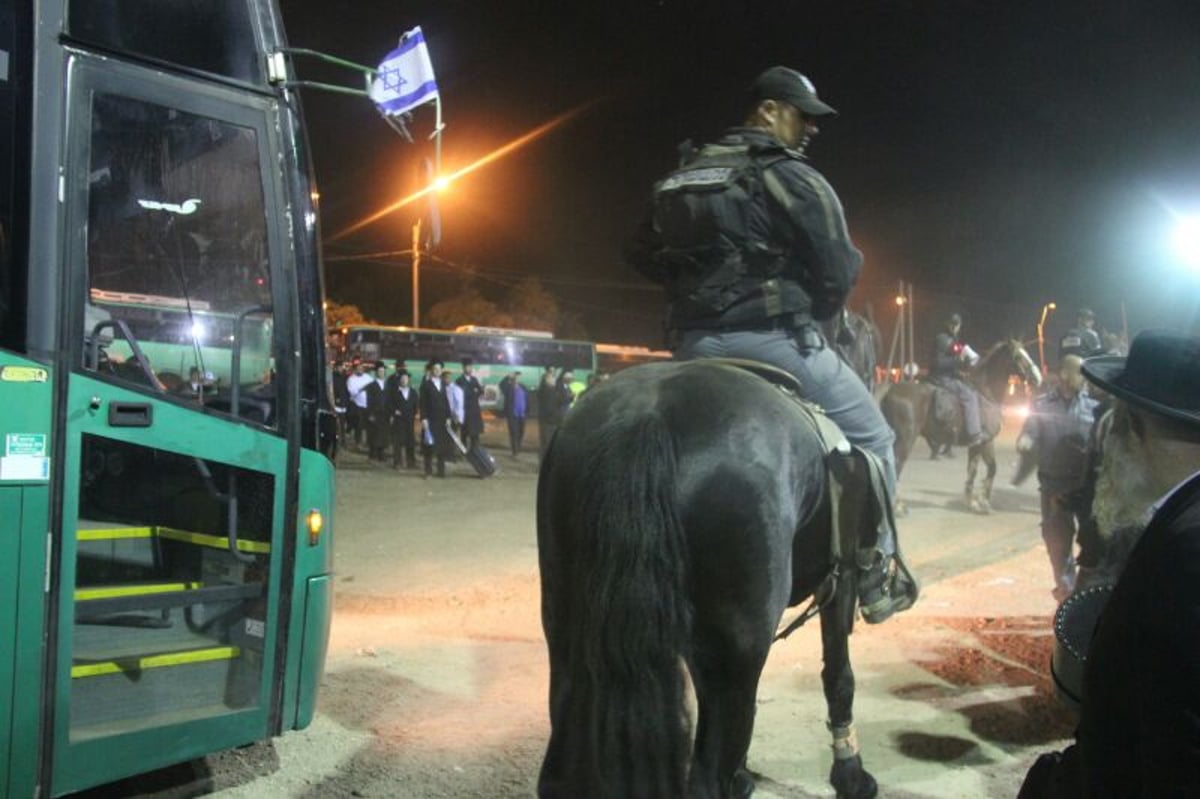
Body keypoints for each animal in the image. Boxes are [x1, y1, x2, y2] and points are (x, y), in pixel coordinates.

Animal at [540, 359, 888, 796]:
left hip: (568, 638)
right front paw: (851, 775)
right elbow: (839, 675)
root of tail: (644, 416)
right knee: (706, 777)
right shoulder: (841, 581)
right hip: (738, 649)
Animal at [873, 335, 1041, 511]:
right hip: (906, 439)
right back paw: (897, 506)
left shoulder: (977, 445)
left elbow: (973, 470)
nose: (1037, 377)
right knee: (896, 465)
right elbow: (992, 468)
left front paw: (971, 501)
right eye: (1018, 356)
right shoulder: (986, 442)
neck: (985, 394)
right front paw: (984, 501)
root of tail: (889, 393)